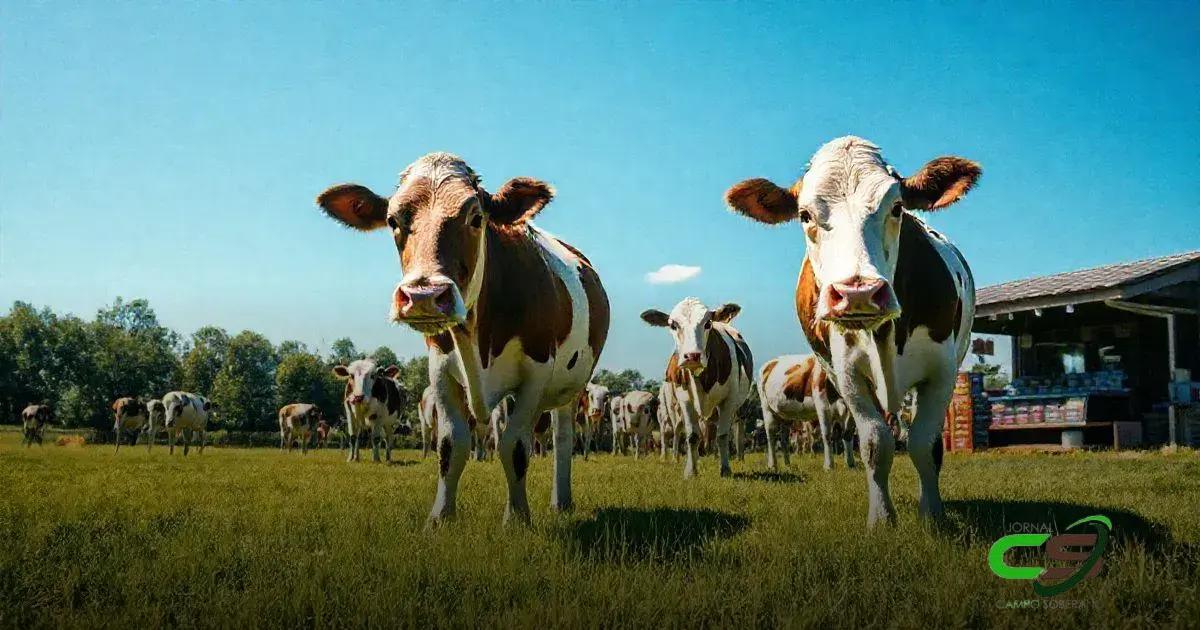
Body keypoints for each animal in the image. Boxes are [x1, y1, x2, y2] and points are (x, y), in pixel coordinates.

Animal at [316, 152, 610, 524]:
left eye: (476, 217)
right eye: (393, 220)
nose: (424, 295)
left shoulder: (537, 372)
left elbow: (514, 446)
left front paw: (516, 519)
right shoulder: (440, 371)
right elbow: (451, 446)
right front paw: (440, 518)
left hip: (569, 387)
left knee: (562, 437)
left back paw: (562, 500)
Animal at [641, 298, 754, 478]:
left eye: (707, 323)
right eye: (673, 325)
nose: (692, 356)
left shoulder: (729, 401)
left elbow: (722, 435)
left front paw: (725, 469)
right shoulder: (685, 400)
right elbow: (692, 436)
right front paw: (691, 471)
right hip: (671, 409)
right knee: (676, 431)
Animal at [725, 135, 979, 526]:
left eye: (897, 207)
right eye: (805, 215)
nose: (857, 292)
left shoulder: (942, 371)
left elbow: (925, 443)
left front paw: (932, 515)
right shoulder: (847, 375)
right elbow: (875, 443)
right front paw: (881, 518)